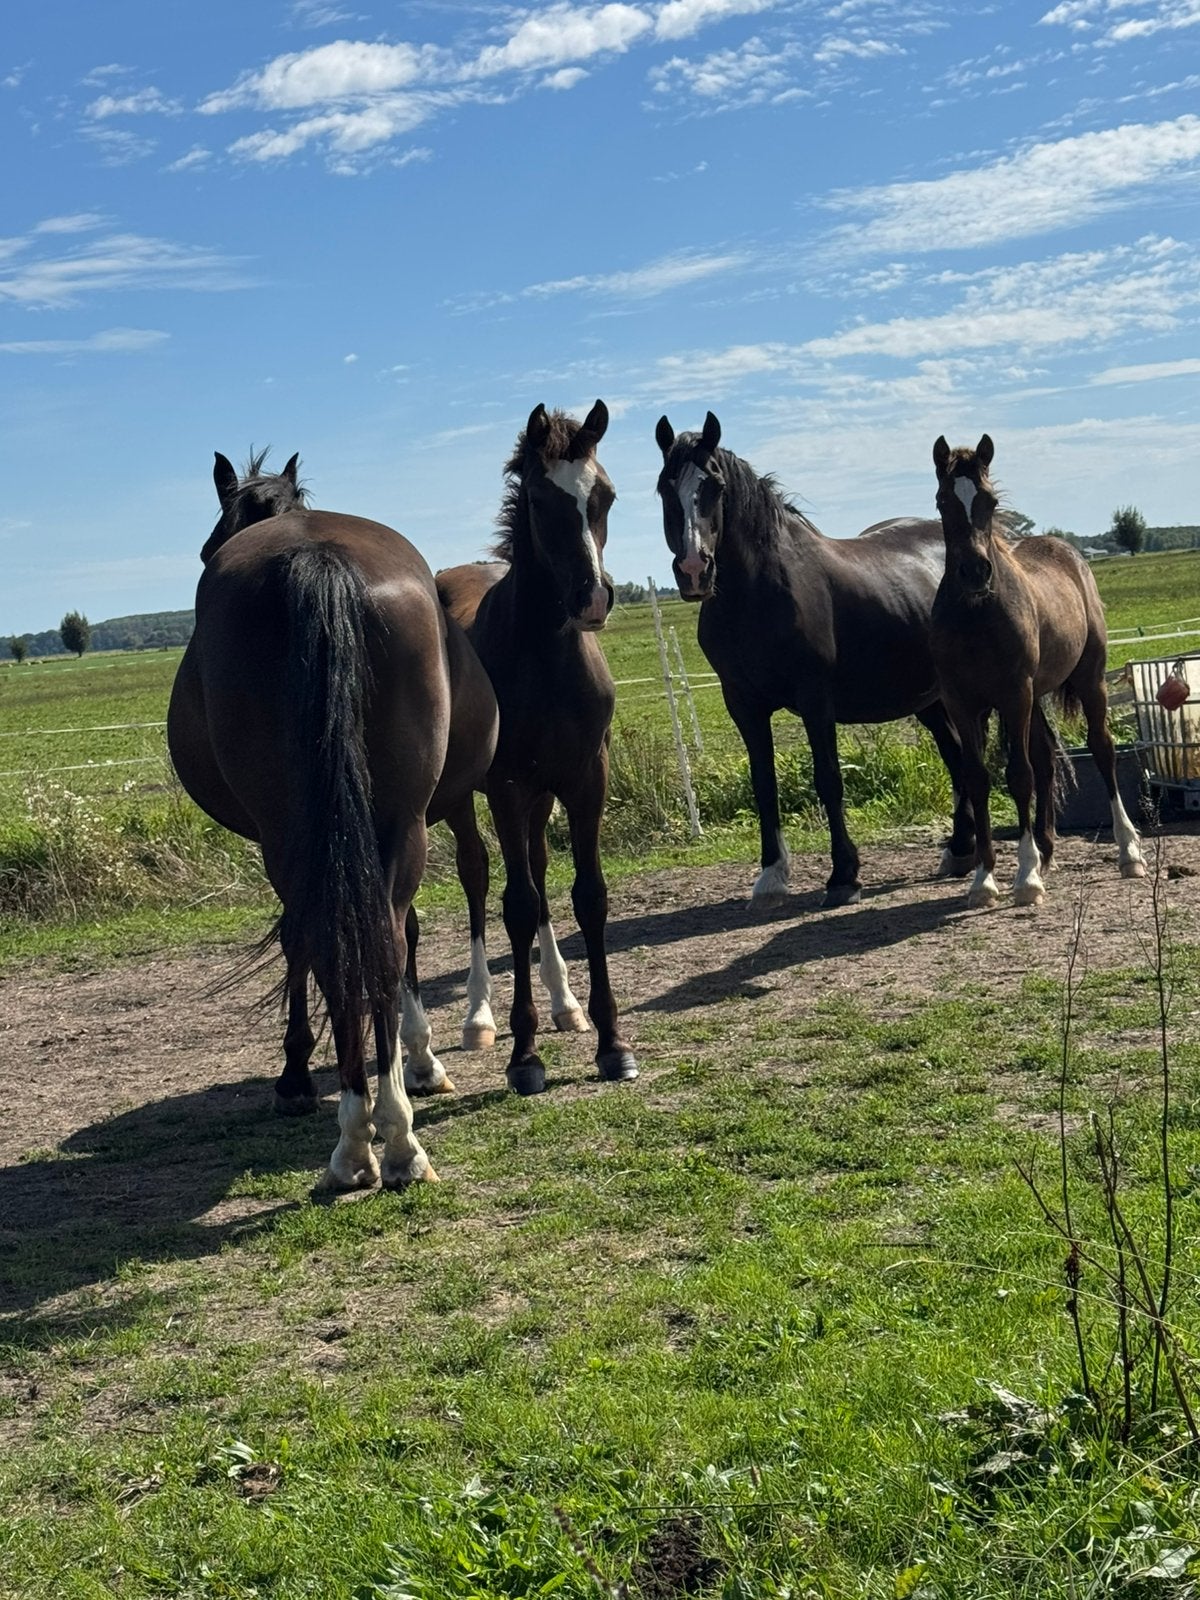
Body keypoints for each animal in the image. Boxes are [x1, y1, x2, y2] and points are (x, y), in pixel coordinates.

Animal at [167, 450, 498, 1189]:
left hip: (301, 834)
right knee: (379, 938)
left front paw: (295, 1075)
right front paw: (416, 1065)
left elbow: (300, 943)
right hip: (397, 824)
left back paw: (360, 1138)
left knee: (330, 940)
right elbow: (390, 938)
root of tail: (315, 561)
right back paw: (392, 1138)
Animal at [435, 401, 638, 1096]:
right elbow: (516, 904)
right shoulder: (506, 785)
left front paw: (611, 1042)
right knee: (477, 875)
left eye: (604, 495)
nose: (594, 598)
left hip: (541, 796)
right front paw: (524, 1056)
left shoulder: (585, 777)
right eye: (541, 501)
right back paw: (479, 1017)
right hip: (461, 799)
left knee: (542, 869)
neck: (546, 657)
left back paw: (564, 1003)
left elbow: (587, 896)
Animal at [654, 411, 977, 908]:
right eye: (663, 487)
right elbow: (763, 785)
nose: (693, 570)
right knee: (956, 755)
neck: (756, 595)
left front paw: (844, 875)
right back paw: (960, 850)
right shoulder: (743, 705)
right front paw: (771, 875)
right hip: (929, 699)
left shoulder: (815, 700)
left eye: (715, 486)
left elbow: (828, 779)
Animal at [929, 433, 1145, 908]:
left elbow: (1019, 775)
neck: (976, 615)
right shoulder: (962, 703)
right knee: (1046, 756)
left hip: (1088, 681)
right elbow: (978, 779)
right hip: (1038, 694)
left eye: (989, 501)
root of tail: (1070, 554)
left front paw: (1025, 876)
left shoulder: (1014, 694)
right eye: (942, 501)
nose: (975, 571)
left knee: (1101, 749)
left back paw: (1129, 851)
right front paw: (983, 879)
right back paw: (1048, 852)